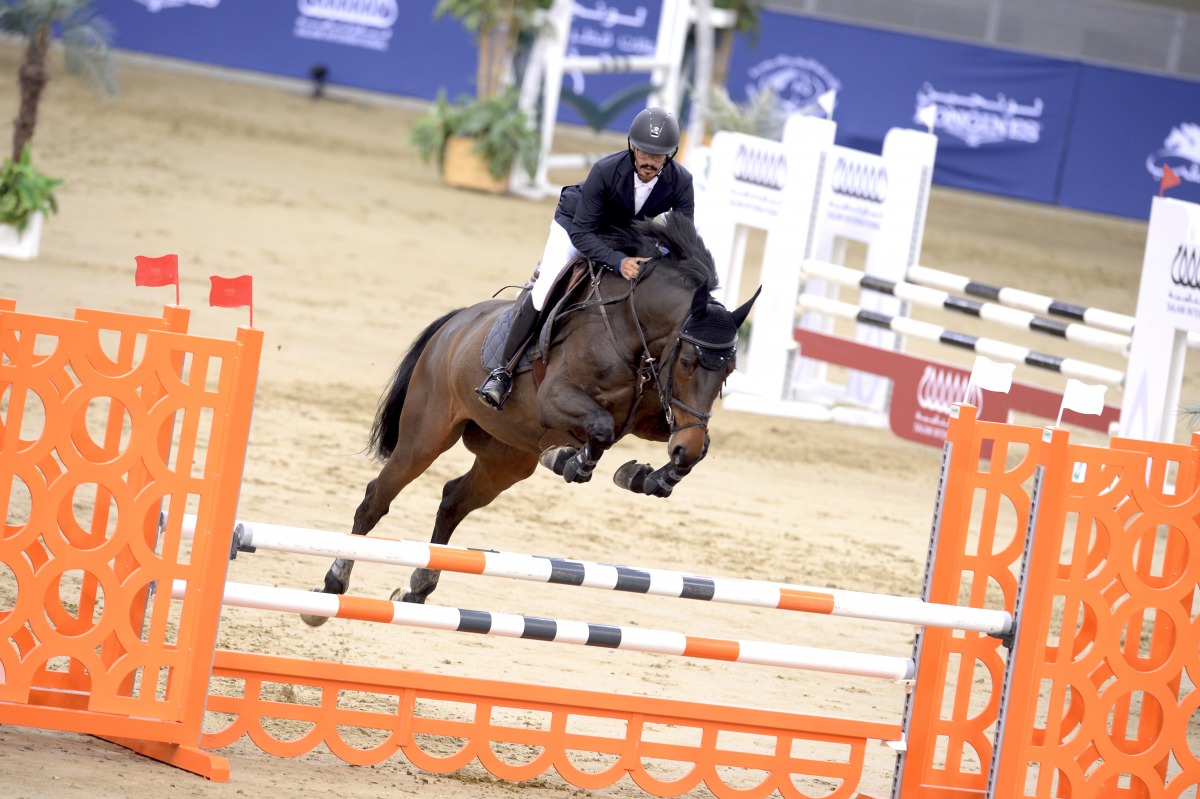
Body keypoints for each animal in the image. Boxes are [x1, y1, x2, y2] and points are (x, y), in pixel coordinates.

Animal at [304, 209, 758, 609]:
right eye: (688, 363)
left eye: (729, 370)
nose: (681, 448)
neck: (633, 328)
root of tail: (453, 325)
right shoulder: (555, 400)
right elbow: (600, 427)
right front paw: (570, 462)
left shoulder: (658, 418)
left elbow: (695, 446)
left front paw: (650, 476)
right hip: (427, 436)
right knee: (377, 498)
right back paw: (332, 585)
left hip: (506, 458)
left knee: (453, 500)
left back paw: (418, 588)